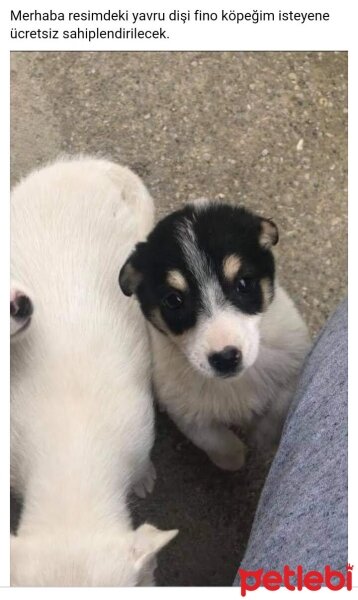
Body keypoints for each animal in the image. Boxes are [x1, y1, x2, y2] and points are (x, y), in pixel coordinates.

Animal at [119, 199, 310, 472]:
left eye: (244, 283)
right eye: (173, 300)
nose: (226, 358)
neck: (234, 382)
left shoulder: (293, 368)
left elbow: (277, 412)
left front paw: (261, 438)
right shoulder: (184, 410)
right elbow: (215, 440)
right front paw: (233, 459)